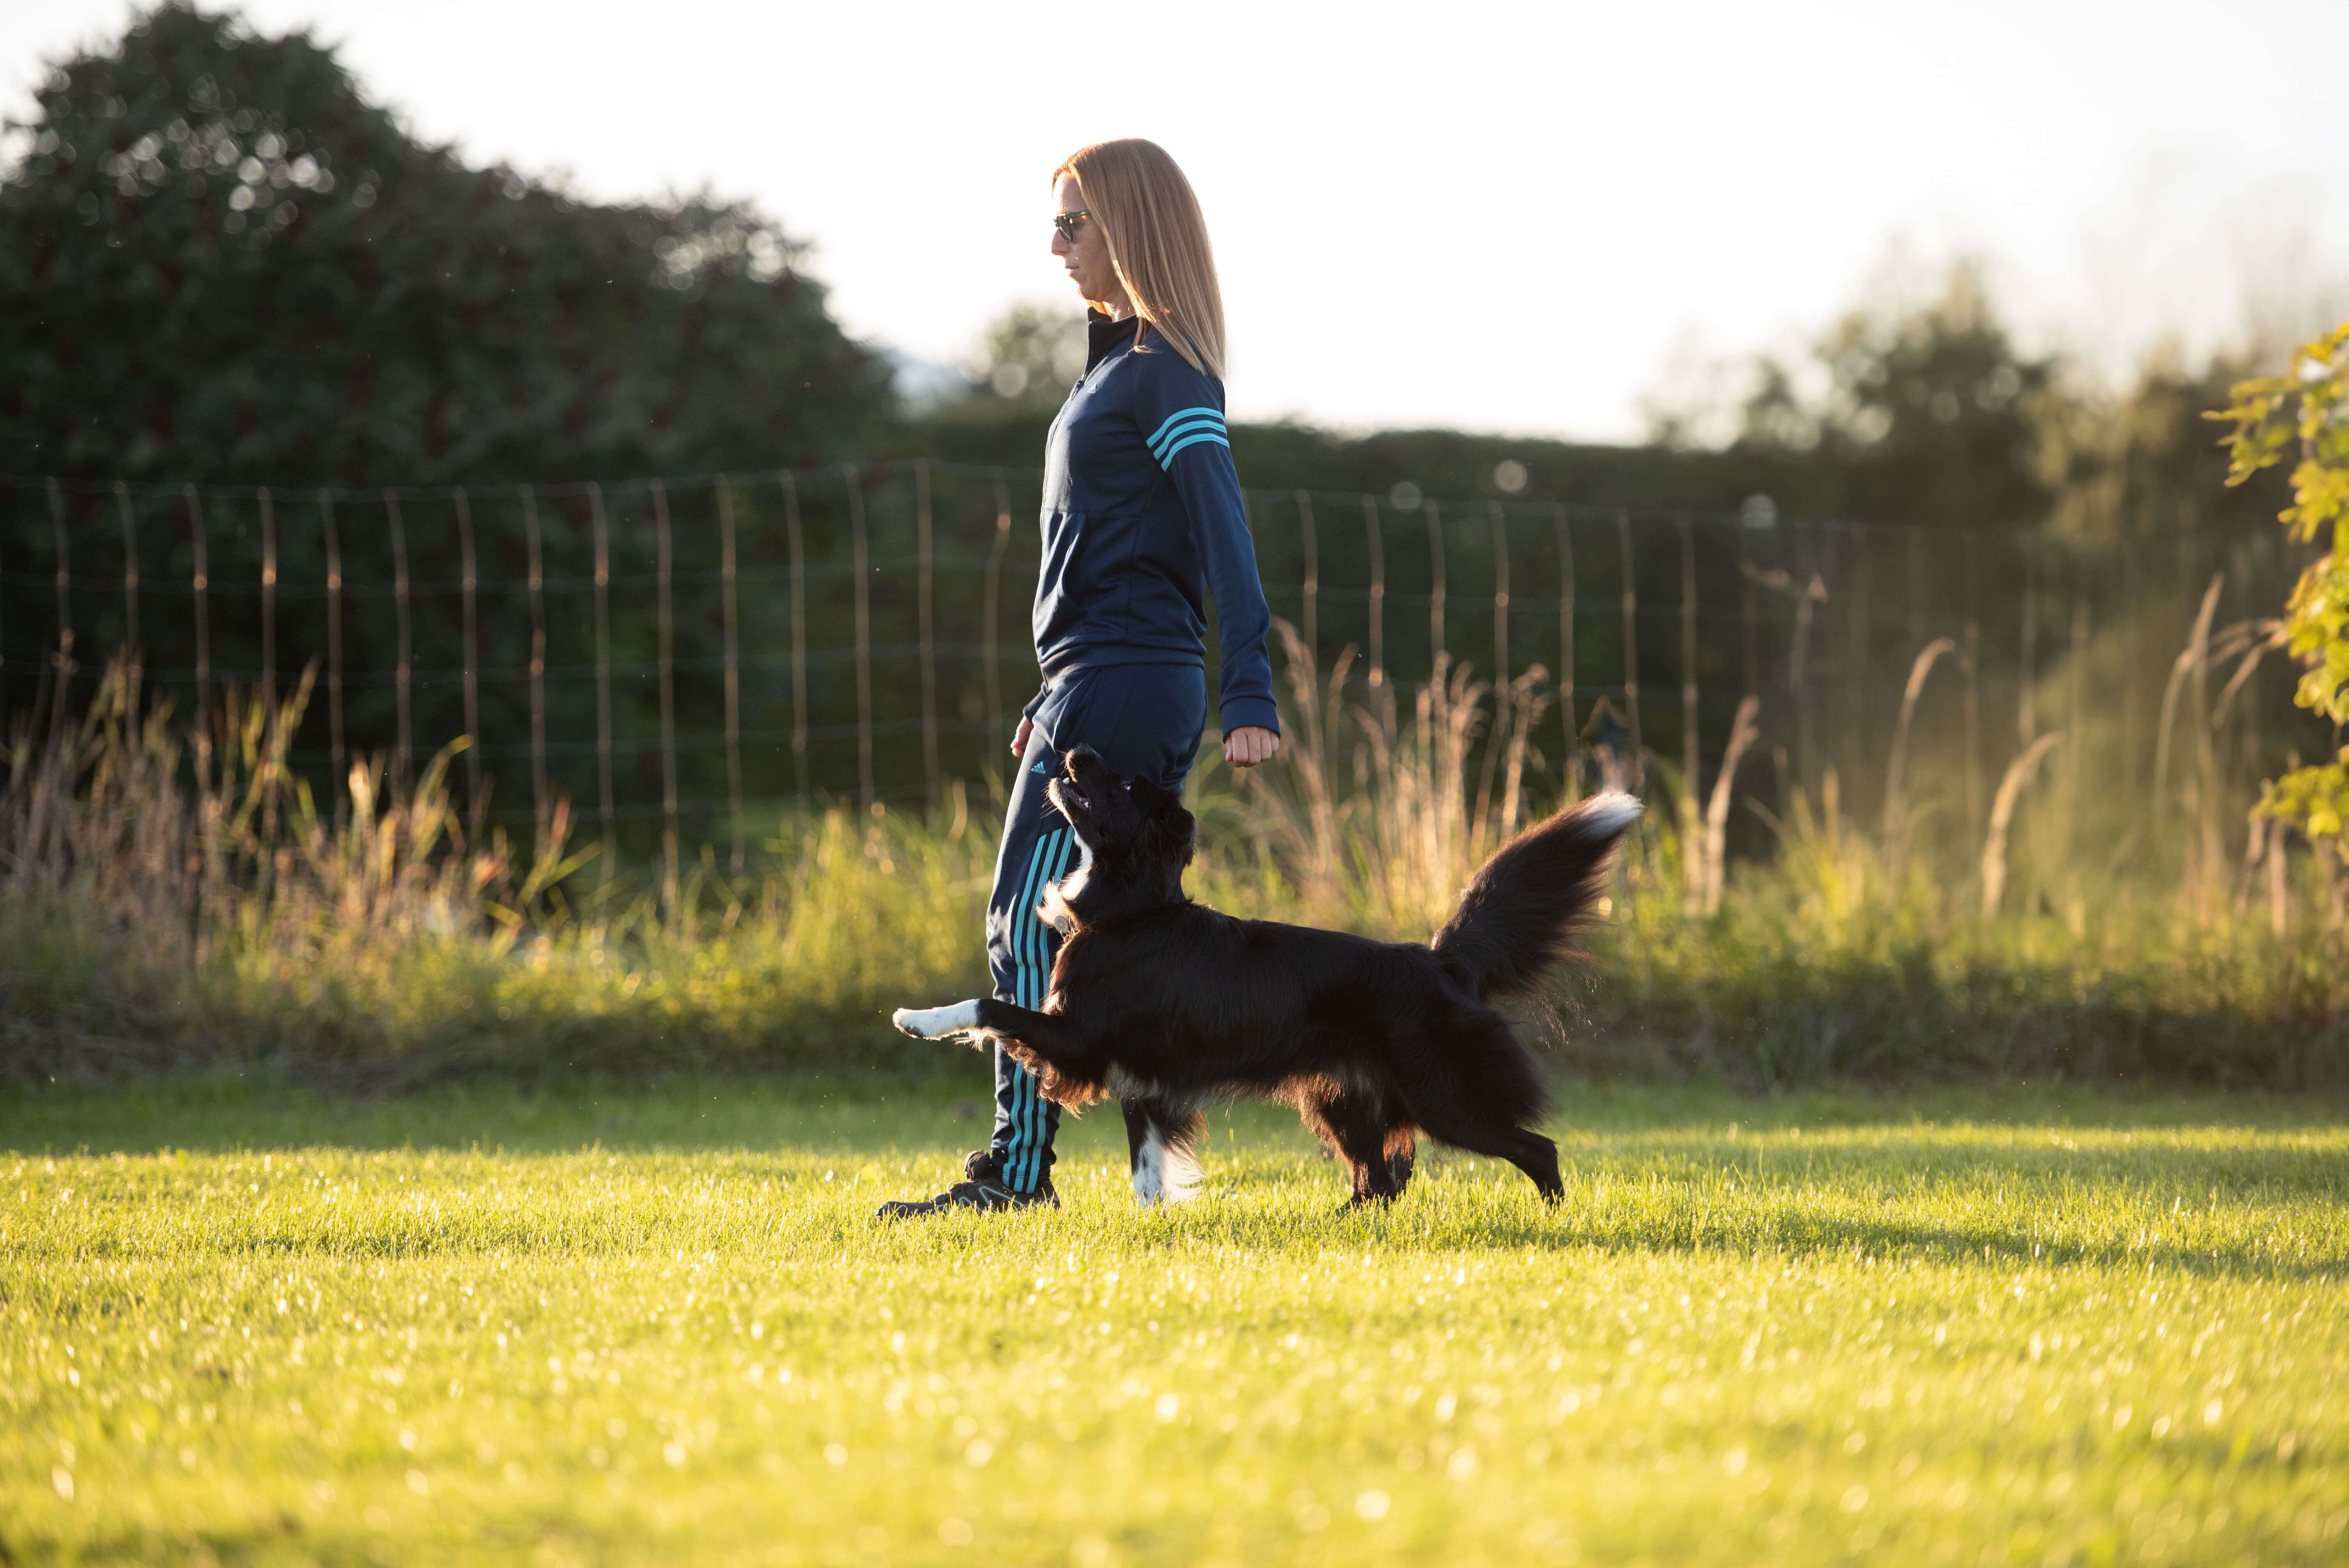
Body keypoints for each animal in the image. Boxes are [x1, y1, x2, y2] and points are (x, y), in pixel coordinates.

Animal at [888, 746, 1644, 1211]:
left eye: (1125, 786)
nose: (1076, 752)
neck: (1130, 911)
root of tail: (1441, 961)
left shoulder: (1079, 1040)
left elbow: (988, 1006)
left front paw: (916, 1019)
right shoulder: (1143, 1078)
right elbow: (1147, 1170)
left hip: (1443, 1096)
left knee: (1535, 1147)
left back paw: (1553, 1220)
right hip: (1341, 1098)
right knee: (1379, 1181)